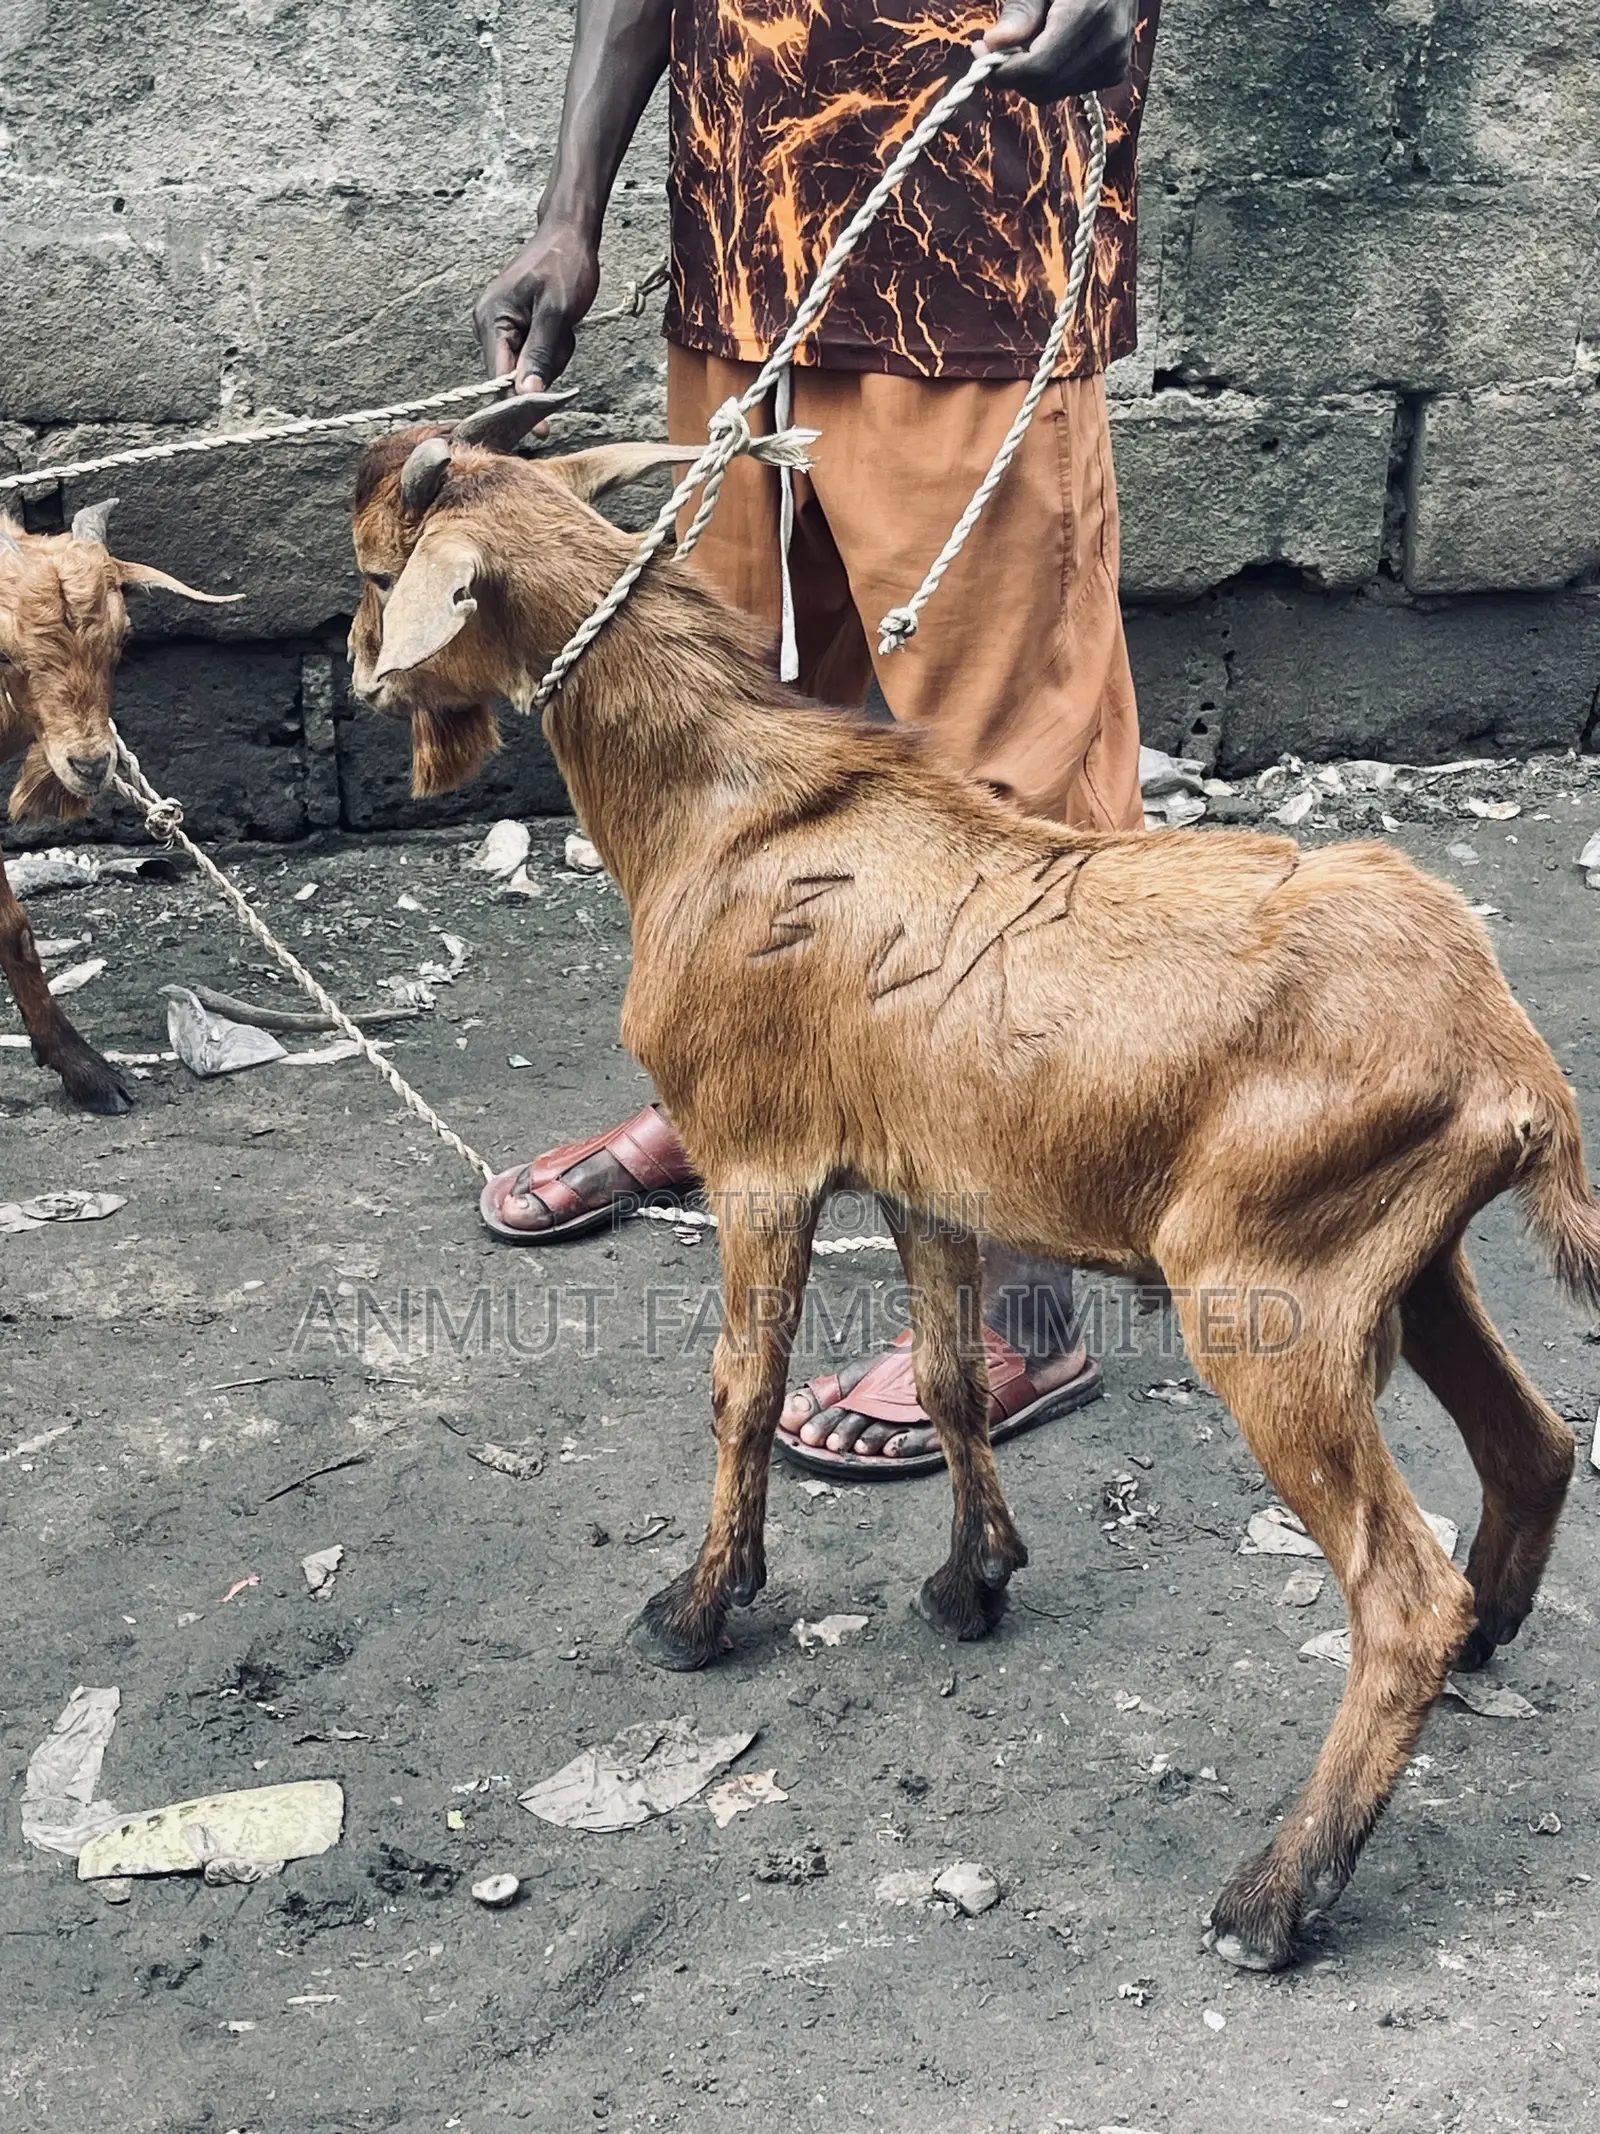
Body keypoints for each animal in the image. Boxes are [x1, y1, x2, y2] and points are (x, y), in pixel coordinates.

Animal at [346, 400, 1597, 1972]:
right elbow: (945, 1379)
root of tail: (1510, 1055)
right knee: (1533, 1443)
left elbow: (740, 1386)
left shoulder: (756, 1153)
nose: (353, 672)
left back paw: (1276, 1893)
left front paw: (699, 1605)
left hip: (1271, 1292)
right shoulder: (921, 1175)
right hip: (1407, 1256)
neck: (727, 811)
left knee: (1400, 1594)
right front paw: (971, 1579)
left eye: (373, 572)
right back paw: (1484, 1643)